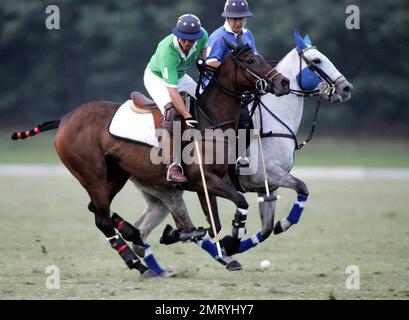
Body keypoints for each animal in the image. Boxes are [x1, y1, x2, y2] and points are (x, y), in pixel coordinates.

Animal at [11, 38, 286, 278]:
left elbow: (216, 223)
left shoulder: (207, 184)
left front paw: (189, 236)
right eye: (250, 60)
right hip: (92, 175)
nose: (282, 82)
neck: (211, 120)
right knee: (102, 219)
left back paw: (132, 234)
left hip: (116, 174)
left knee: (98, 209)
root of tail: (65, 119)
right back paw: (139, 264)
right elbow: (238, 202)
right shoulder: (203, 179)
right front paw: (221, 240)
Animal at [130, 32, 350, 276]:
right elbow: (301, 187)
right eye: (317, 61)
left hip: (157, 191)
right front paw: (237, 239)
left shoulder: (268, 185)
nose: (346, 88)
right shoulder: (265, 174)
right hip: (168, 189)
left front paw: (236, 242)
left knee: (143, 229)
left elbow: (267, 227)